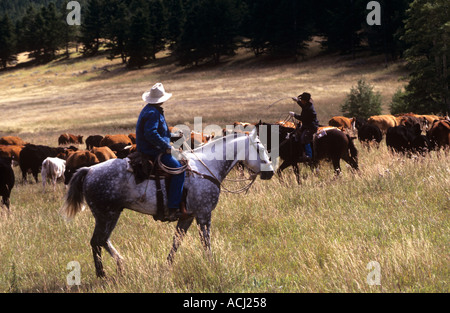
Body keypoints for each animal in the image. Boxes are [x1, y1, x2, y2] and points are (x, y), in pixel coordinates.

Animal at [60, 128, 274, 276]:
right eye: (259, 147)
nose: (270, 172)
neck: (207, 168)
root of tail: (89, 170)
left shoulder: (187, 217)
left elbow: (176, 242)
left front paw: (167, 266)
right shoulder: (204, 214)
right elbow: (206, 242)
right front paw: (211, 264)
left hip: (109, 215)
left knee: (102, 241)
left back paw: (120, 264)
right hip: (107, 215)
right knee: (97, 241)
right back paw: (103, 274)